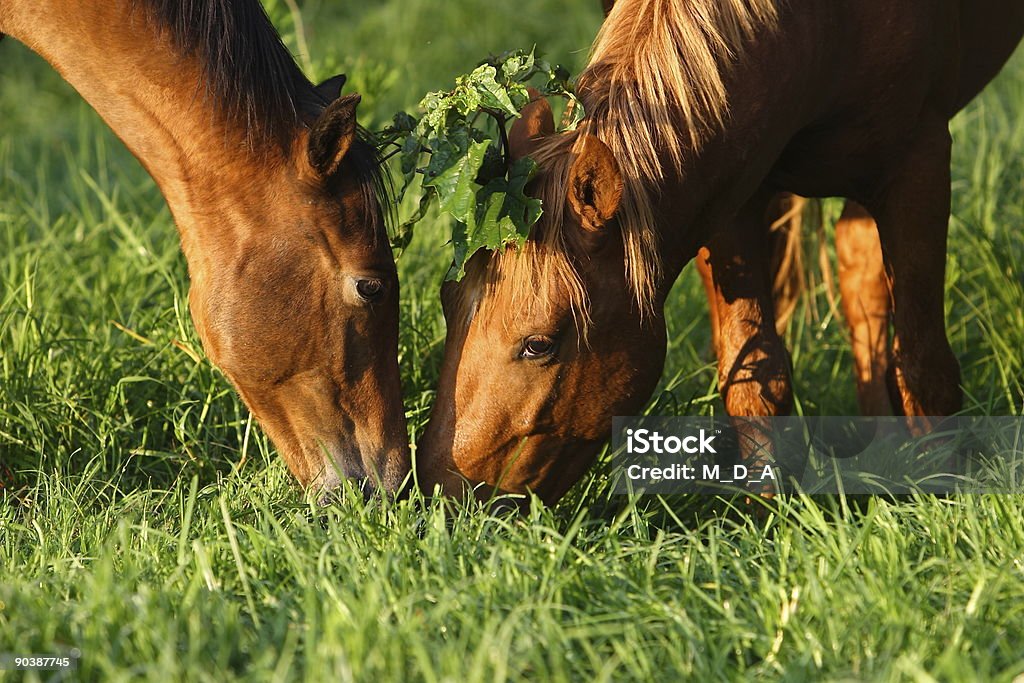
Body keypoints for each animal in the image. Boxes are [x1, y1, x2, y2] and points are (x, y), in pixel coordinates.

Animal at [417, 0, 1024, 501]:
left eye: (539, 344)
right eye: (448, 301)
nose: (443, 488)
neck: (824, 27)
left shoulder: (919, 163)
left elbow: (923, 363)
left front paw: (939, 493)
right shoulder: (732, 193)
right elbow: (755, 373)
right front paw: (767, 512)